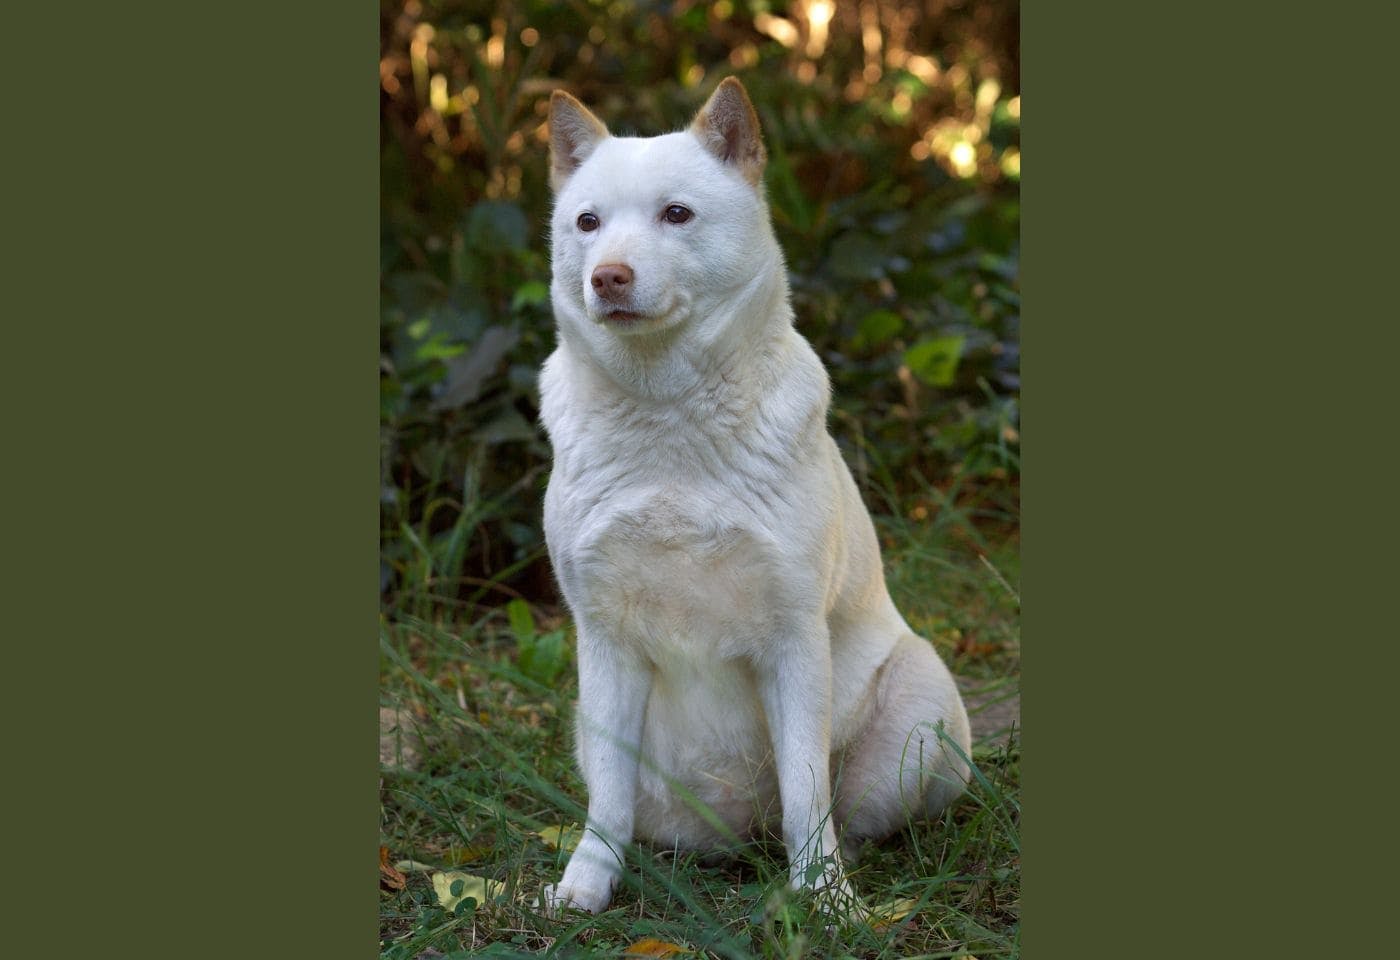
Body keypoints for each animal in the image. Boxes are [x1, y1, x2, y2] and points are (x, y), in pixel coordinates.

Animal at [534, 76, 974, 918]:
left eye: (676, 214)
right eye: (588, 222)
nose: (607, 276)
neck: (669, 424)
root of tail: (743, 836)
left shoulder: (794, 640)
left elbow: (807, 793)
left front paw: (828, 903)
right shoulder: (604, 642)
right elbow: (607, 804)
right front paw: (585, 887)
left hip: (923, 704)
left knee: (845, 815)